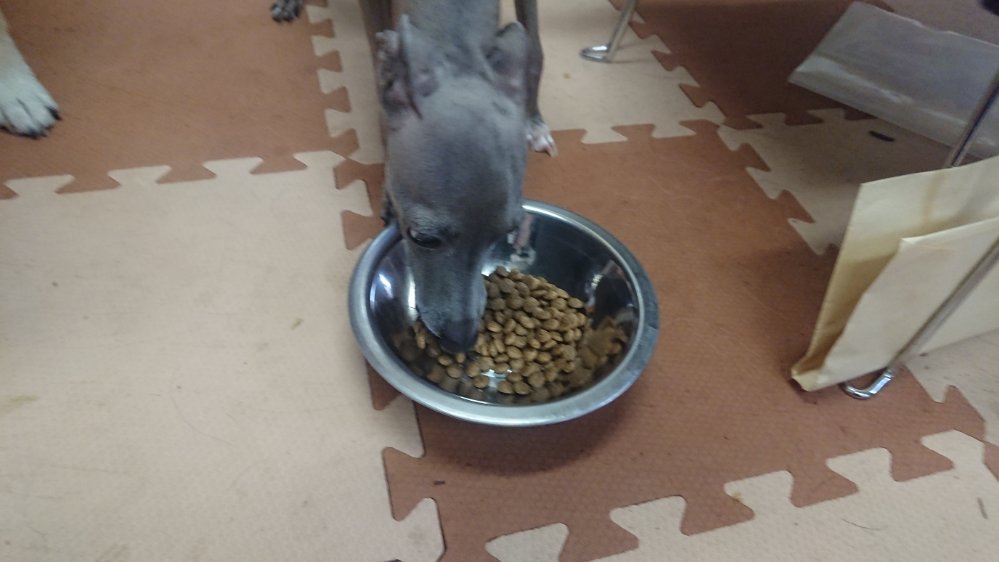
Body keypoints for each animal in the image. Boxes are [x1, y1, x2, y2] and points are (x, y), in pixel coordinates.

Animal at [275, 0, 553, 352]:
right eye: (423, 238)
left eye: (503, 233)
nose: (461, 338)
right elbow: (380, 76)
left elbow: (535, 51)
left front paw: (533, 120)